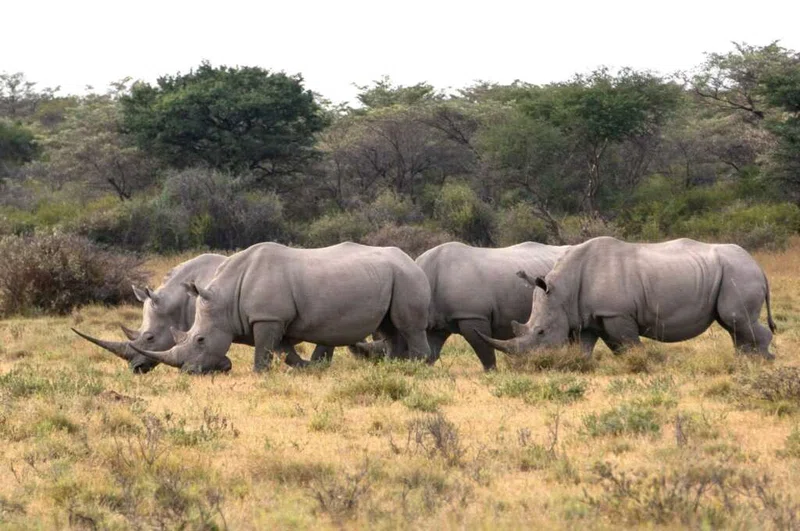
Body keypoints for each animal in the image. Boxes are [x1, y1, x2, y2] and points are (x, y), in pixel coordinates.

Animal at [129, 242, 432, 374]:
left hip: (407, 277)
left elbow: (264, 349)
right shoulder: (276, 319)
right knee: (390, 328)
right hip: (393, 276)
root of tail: (411, 258)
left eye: (201, 340)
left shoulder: (267, 318)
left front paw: (259, 374)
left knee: (409, 327)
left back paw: (417, 368)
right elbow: (283, 349)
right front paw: (305, 367)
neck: (226, 297)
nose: (187, 371)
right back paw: (393, 367)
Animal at [478, 237, 777, 358]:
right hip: (733, 273)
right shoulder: (588, 316)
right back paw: (743, 362)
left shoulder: (616, 313)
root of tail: (760, 267)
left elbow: (630, 345)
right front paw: (581, 365)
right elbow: (586, 348)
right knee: (734, 326)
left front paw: (641, 364)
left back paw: (762, 362)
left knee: (737, 320)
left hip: (739, 272)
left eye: (540, 332)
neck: (563, 289)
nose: (529, 365)